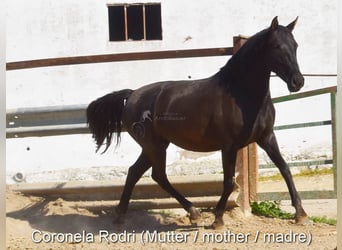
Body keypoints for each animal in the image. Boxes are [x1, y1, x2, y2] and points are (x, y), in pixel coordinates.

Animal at [87, 17, 308, 229]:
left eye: (296, 45)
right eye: (277, 46)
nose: (298, 82)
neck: (240, 95)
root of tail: (132, 94)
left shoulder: (266, 138)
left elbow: (285, 169)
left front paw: (300, 214)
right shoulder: (229, 146)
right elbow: (229, 182)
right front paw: (218, 219)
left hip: (155, 146)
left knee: (136, 172)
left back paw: (122, 216)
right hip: (154, 146)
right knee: (158, 175)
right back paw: (192, 212)